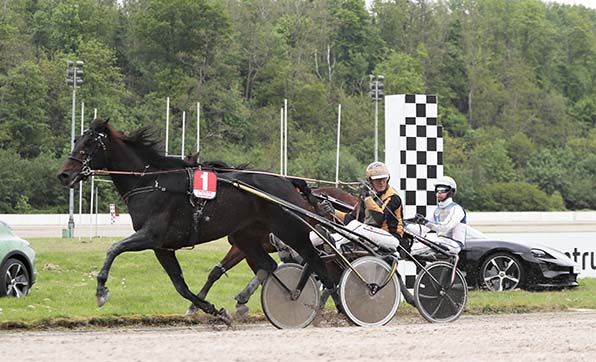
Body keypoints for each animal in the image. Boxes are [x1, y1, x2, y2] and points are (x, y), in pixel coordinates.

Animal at [58, 118, 338, 322]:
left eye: (88, 145)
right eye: (75, 140)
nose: (64, 174)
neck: (152, 182)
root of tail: (286, 180)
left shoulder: (151, 235)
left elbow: (113, 248)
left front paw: (101, 291)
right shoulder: (163, 247)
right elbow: (180, 286)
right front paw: (213, 310)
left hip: (289, 228)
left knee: (315, 261)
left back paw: (327, 303)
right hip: (245, 236)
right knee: (270, 265)